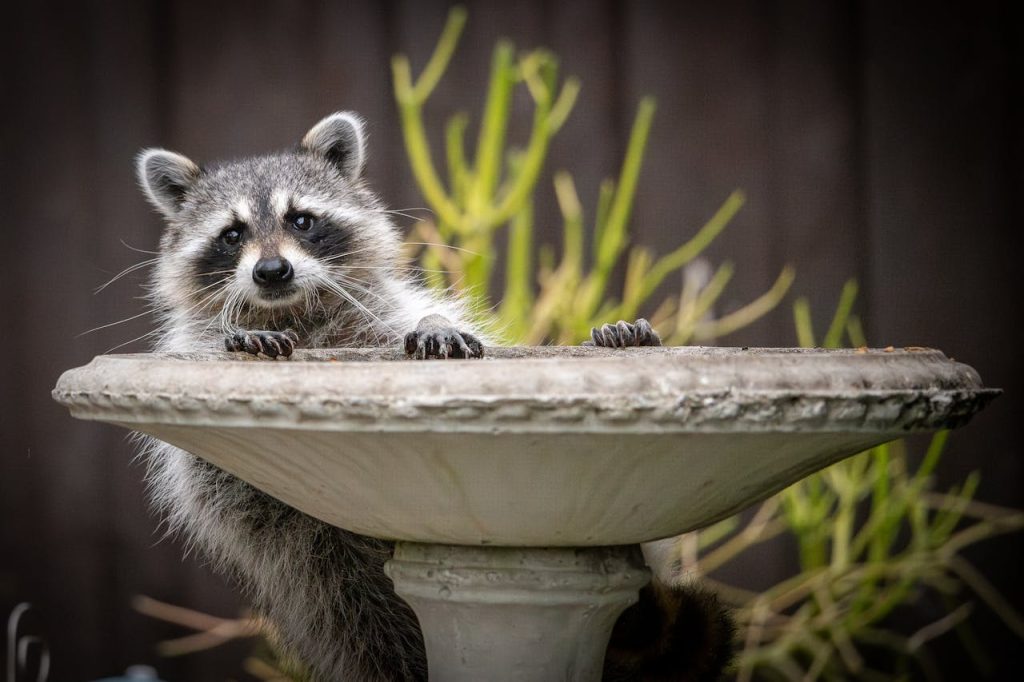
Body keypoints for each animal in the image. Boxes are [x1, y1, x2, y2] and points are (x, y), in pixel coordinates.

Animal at [135, 112, 733, 681]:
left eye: (301, 220)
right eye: (232, 235)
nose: (271, 271)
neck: (294, 311)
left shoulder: (378, 318)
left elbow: (423, 318)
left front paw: (435, 323)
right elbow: (218, 472)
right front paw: (246, 336)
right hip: (337, 594)